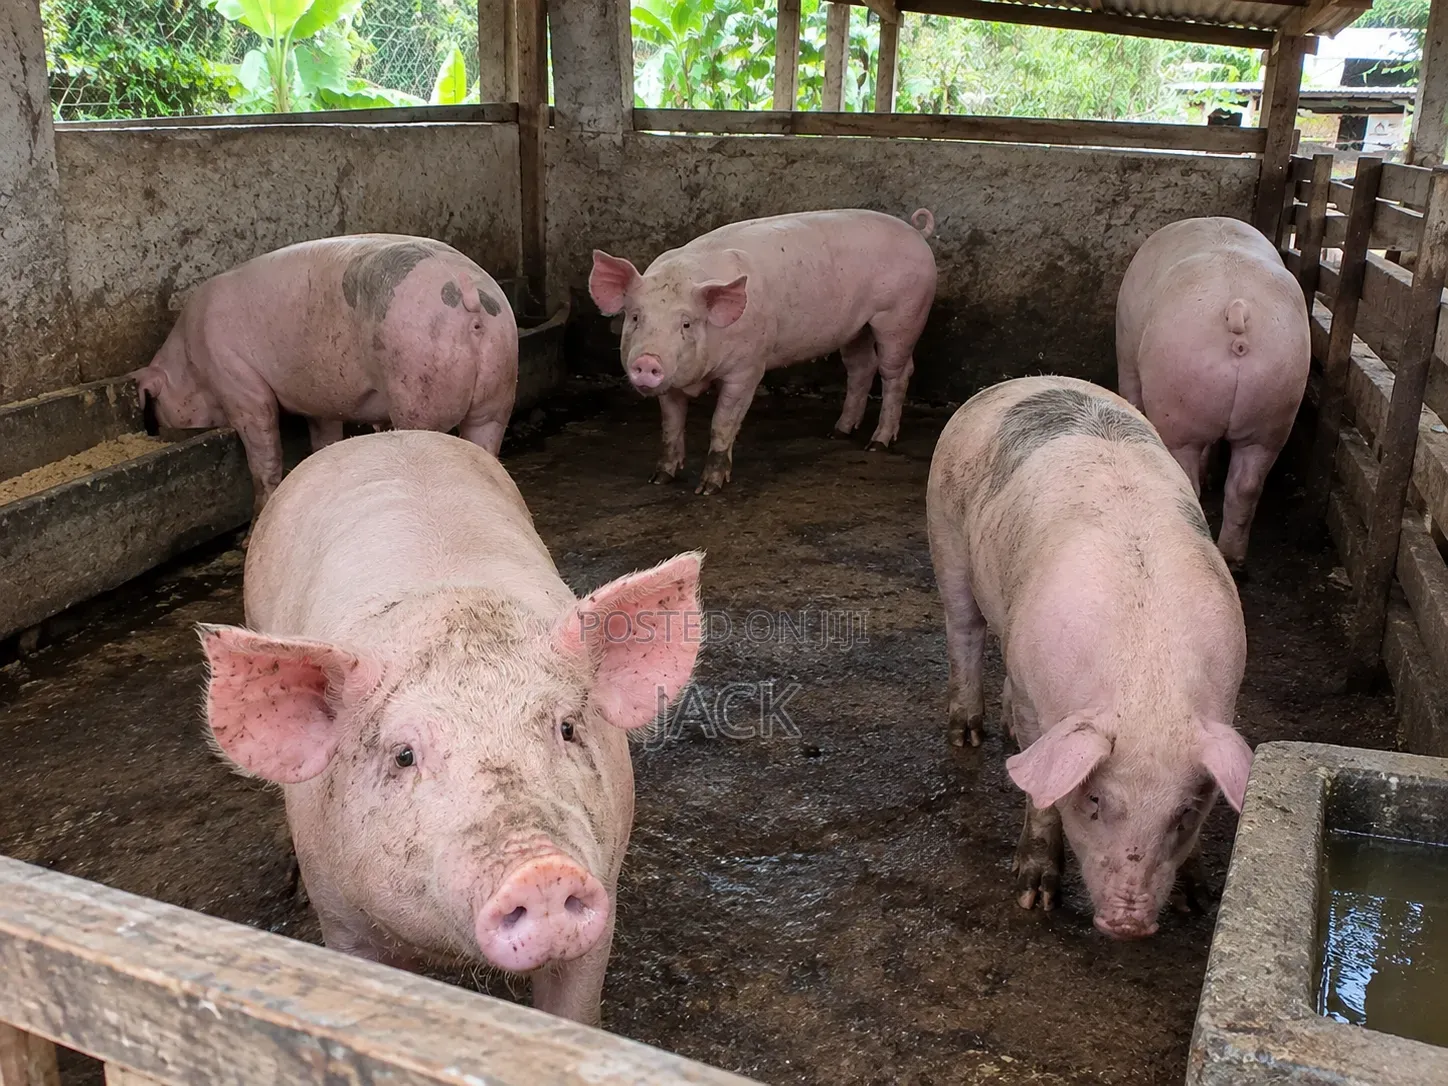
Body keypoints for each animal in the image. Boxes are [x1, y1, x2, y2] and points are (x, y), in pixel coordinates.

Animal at [132, 234, 518, 519]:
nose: (156, 431)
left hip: (418, 381)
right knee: (487, 440)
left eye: (156, 404)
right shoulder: (319, 404)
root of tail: (470, 299)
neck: (190, 362)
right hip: (499, 386)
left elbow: (263, 448)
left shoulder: (237, 380)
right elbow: (324, 436)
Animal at [198, 429, 702, 1023]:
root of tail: (386, 436)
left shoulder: (607, 885)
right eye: (404, 755)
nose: (541, 870)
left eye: (567, 728)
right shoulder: (343, 923)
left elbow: (575, 1010)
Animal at [589, 208, 938, 494]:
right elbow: (670, 426)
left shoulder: (748, 368)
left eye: (686, 323)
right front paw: (660, 478)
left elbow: (722, 422)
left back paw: (876, 444)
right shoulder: (672, 385)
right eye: (636, 317)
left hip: (901, 317)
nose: (648, 360)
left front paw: (708, 489)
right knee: (861, 368)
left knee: (896, 373)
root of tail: (915, 231)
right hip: (857, 328)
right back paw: (837, 433)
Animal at [926, 376, 1254, 939]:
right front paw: (1033, 898)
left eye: (1184, 814)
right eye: (1096, 800)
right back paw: (968, 735)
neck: (1148, 683)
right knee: (964, 631)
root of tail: (1023, 381)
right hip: (945, 534)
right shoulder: (1041, 708)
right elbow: (1042, 795)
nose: (1128, 923)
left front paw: (1196, 901)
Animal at [1116, 216, 1310, 576]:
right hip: (1277, 404)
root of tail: (1237, 307)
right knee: (1246, 485)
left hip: (1177, 407)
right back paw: (1233, 560)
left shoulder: (1125, 350)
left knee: (1186, 476)